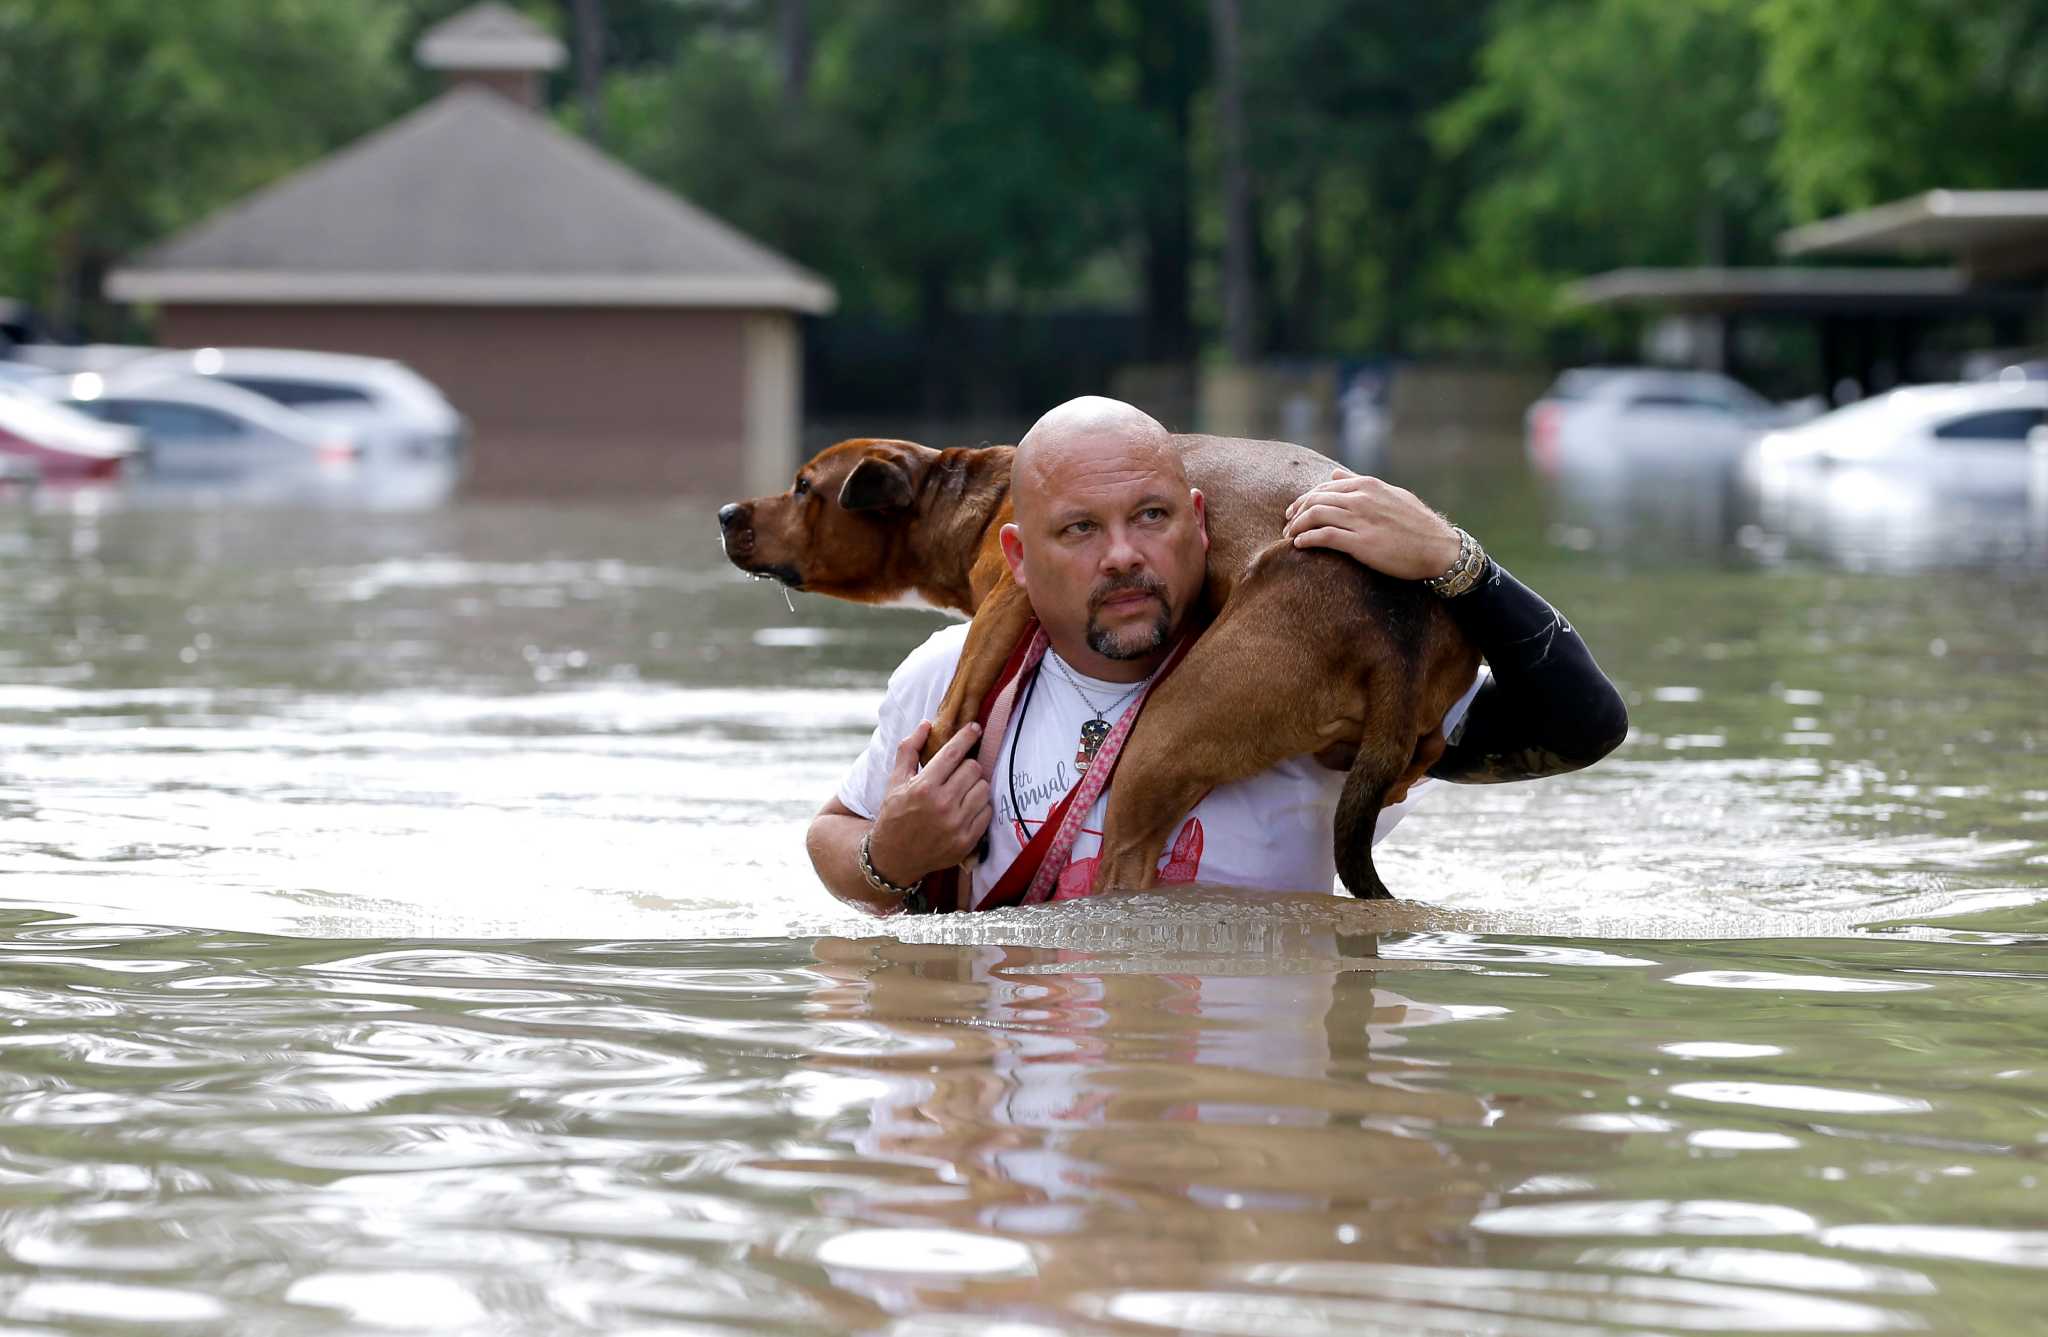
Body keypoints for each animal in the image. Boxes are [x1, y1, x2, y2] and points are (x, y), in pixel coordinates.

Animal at [729, 432, 1482, 900]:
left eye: (803, 487)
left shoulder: (1005, 600)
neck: (975, 492)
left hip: (1160, 743)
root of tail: (1397, 633)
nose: (726, 512)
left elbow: (955, 703)